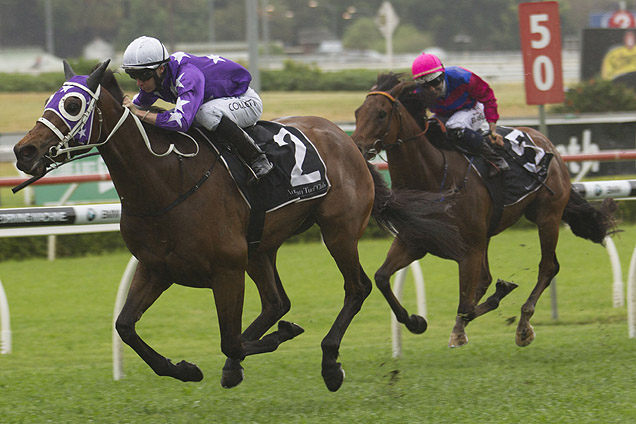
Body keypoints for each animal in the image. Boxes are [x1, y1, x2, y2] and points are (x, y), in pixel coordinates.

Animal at [13, 61, 462, 390]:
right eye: (50, 99)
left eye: (73, 105)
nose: (23, 150)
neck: (166, 181)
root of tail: (346, 139)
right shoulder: (157, 267)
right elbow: (126, 326)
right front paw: (187, 369)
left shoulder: (226, 269)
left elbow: (228, 337)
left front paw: (270, 343)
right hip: (261, 246)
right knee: (277, 302)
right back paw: (243, 361)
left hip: (337, 230)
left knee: (357, 287)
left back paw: (331, 361)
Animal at [350, 73, 620, 348]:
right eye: (357, 112)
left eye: (381, 113)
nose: (356, 148)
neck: (433, 178)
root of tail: (545, 141)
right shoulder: (413, 242)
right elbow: (382, 278)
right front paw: (417, 322)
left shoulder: (468, 249)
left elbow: (467, 305)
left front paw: (496, 298)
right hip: (490, 234)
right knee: (486, 278)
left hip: (547, 216)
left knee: (548, 267)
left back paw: (523, 325)